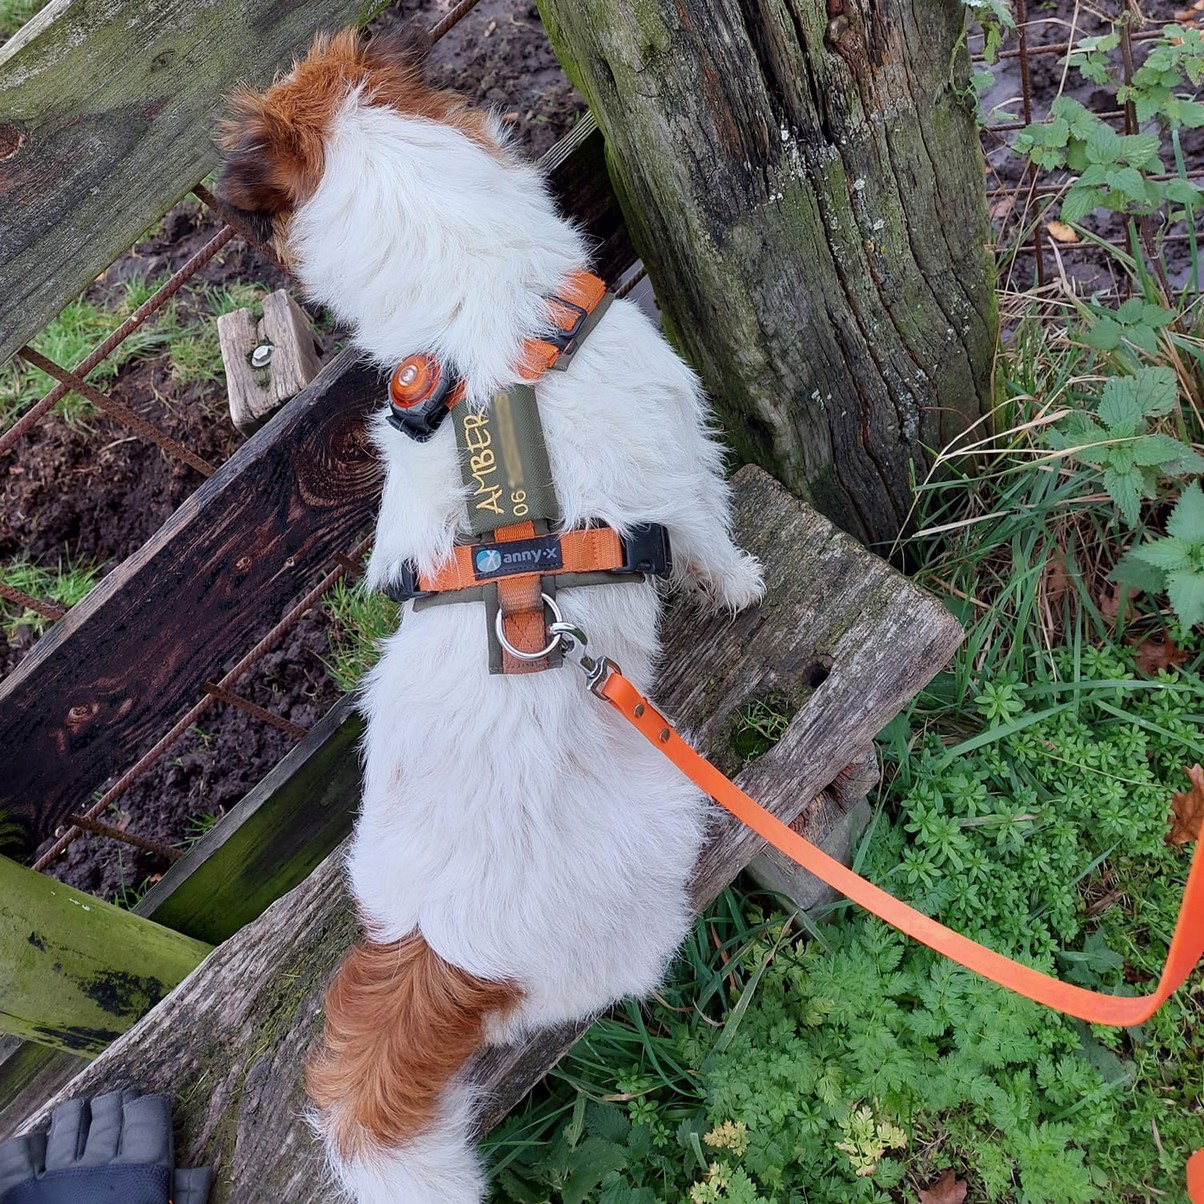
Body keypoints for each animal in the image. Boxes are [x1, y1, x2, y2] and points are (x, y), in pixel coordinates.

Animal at [220, 30, 760, 1204]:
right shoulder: (683, 470)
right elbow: (708, 535)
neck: (477, 324)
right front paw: (741, 586)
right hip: (659, 840)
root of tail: (436, 950)